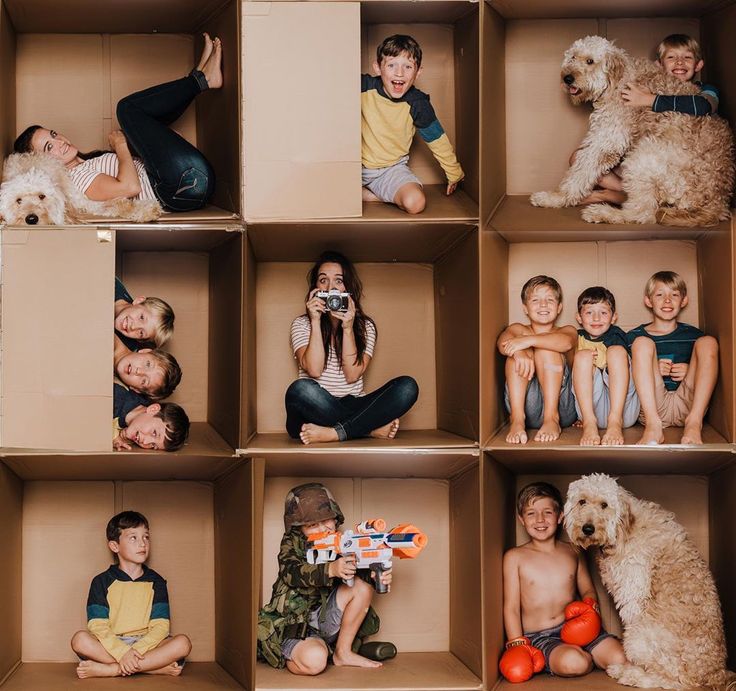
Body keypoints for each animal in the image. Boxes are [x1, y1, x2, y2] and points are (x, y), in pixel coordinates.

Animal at [0, 153, 162, 226]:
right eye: (18, 201)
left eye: (42, 196)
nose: (31, 219)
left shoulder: (81, 200)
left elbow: (117, 204)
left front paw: (147, 209)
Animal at [532, 36, 732, 227]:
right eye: (573, 57)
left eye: (590, 61)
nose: (567, 78)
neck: (616, 80)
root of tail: (718, 201)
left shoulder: (606, 140)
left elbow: (581, 170)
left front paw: (556, 198)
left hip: (644, 156)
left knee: (643, 214)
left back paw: (604, 213)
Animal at [564, 474, 732, 688]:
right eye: (582, 501)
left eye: (604, 504)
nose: (587, 528)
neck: (623, 530)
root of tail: (716, 673)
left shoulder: (633, 593)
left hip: (640, 637)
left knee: (674, 682)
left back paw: (629, 673)